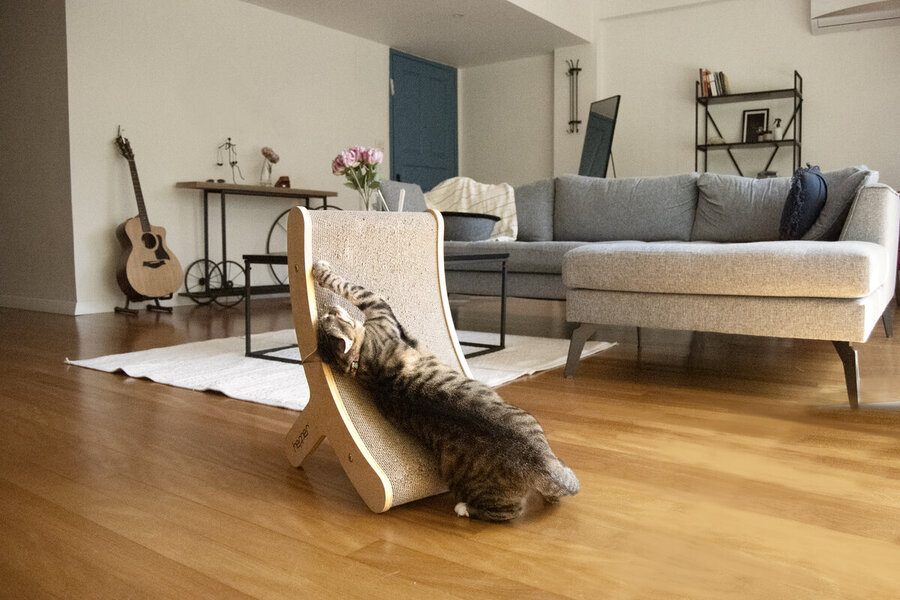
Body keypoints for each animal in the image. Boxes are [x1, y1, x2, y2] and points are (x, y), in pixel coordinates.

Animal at [310, 260, 580, 524]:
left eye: (330, 315)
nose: (327, 309)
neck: (361, 363)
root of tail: (538, 463)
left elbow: (349, 289)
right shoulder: (378, 306)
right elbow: (348, 287)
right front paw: (321, 270)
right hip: (471, 479)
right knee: (508, 513)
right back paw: (464, 508)